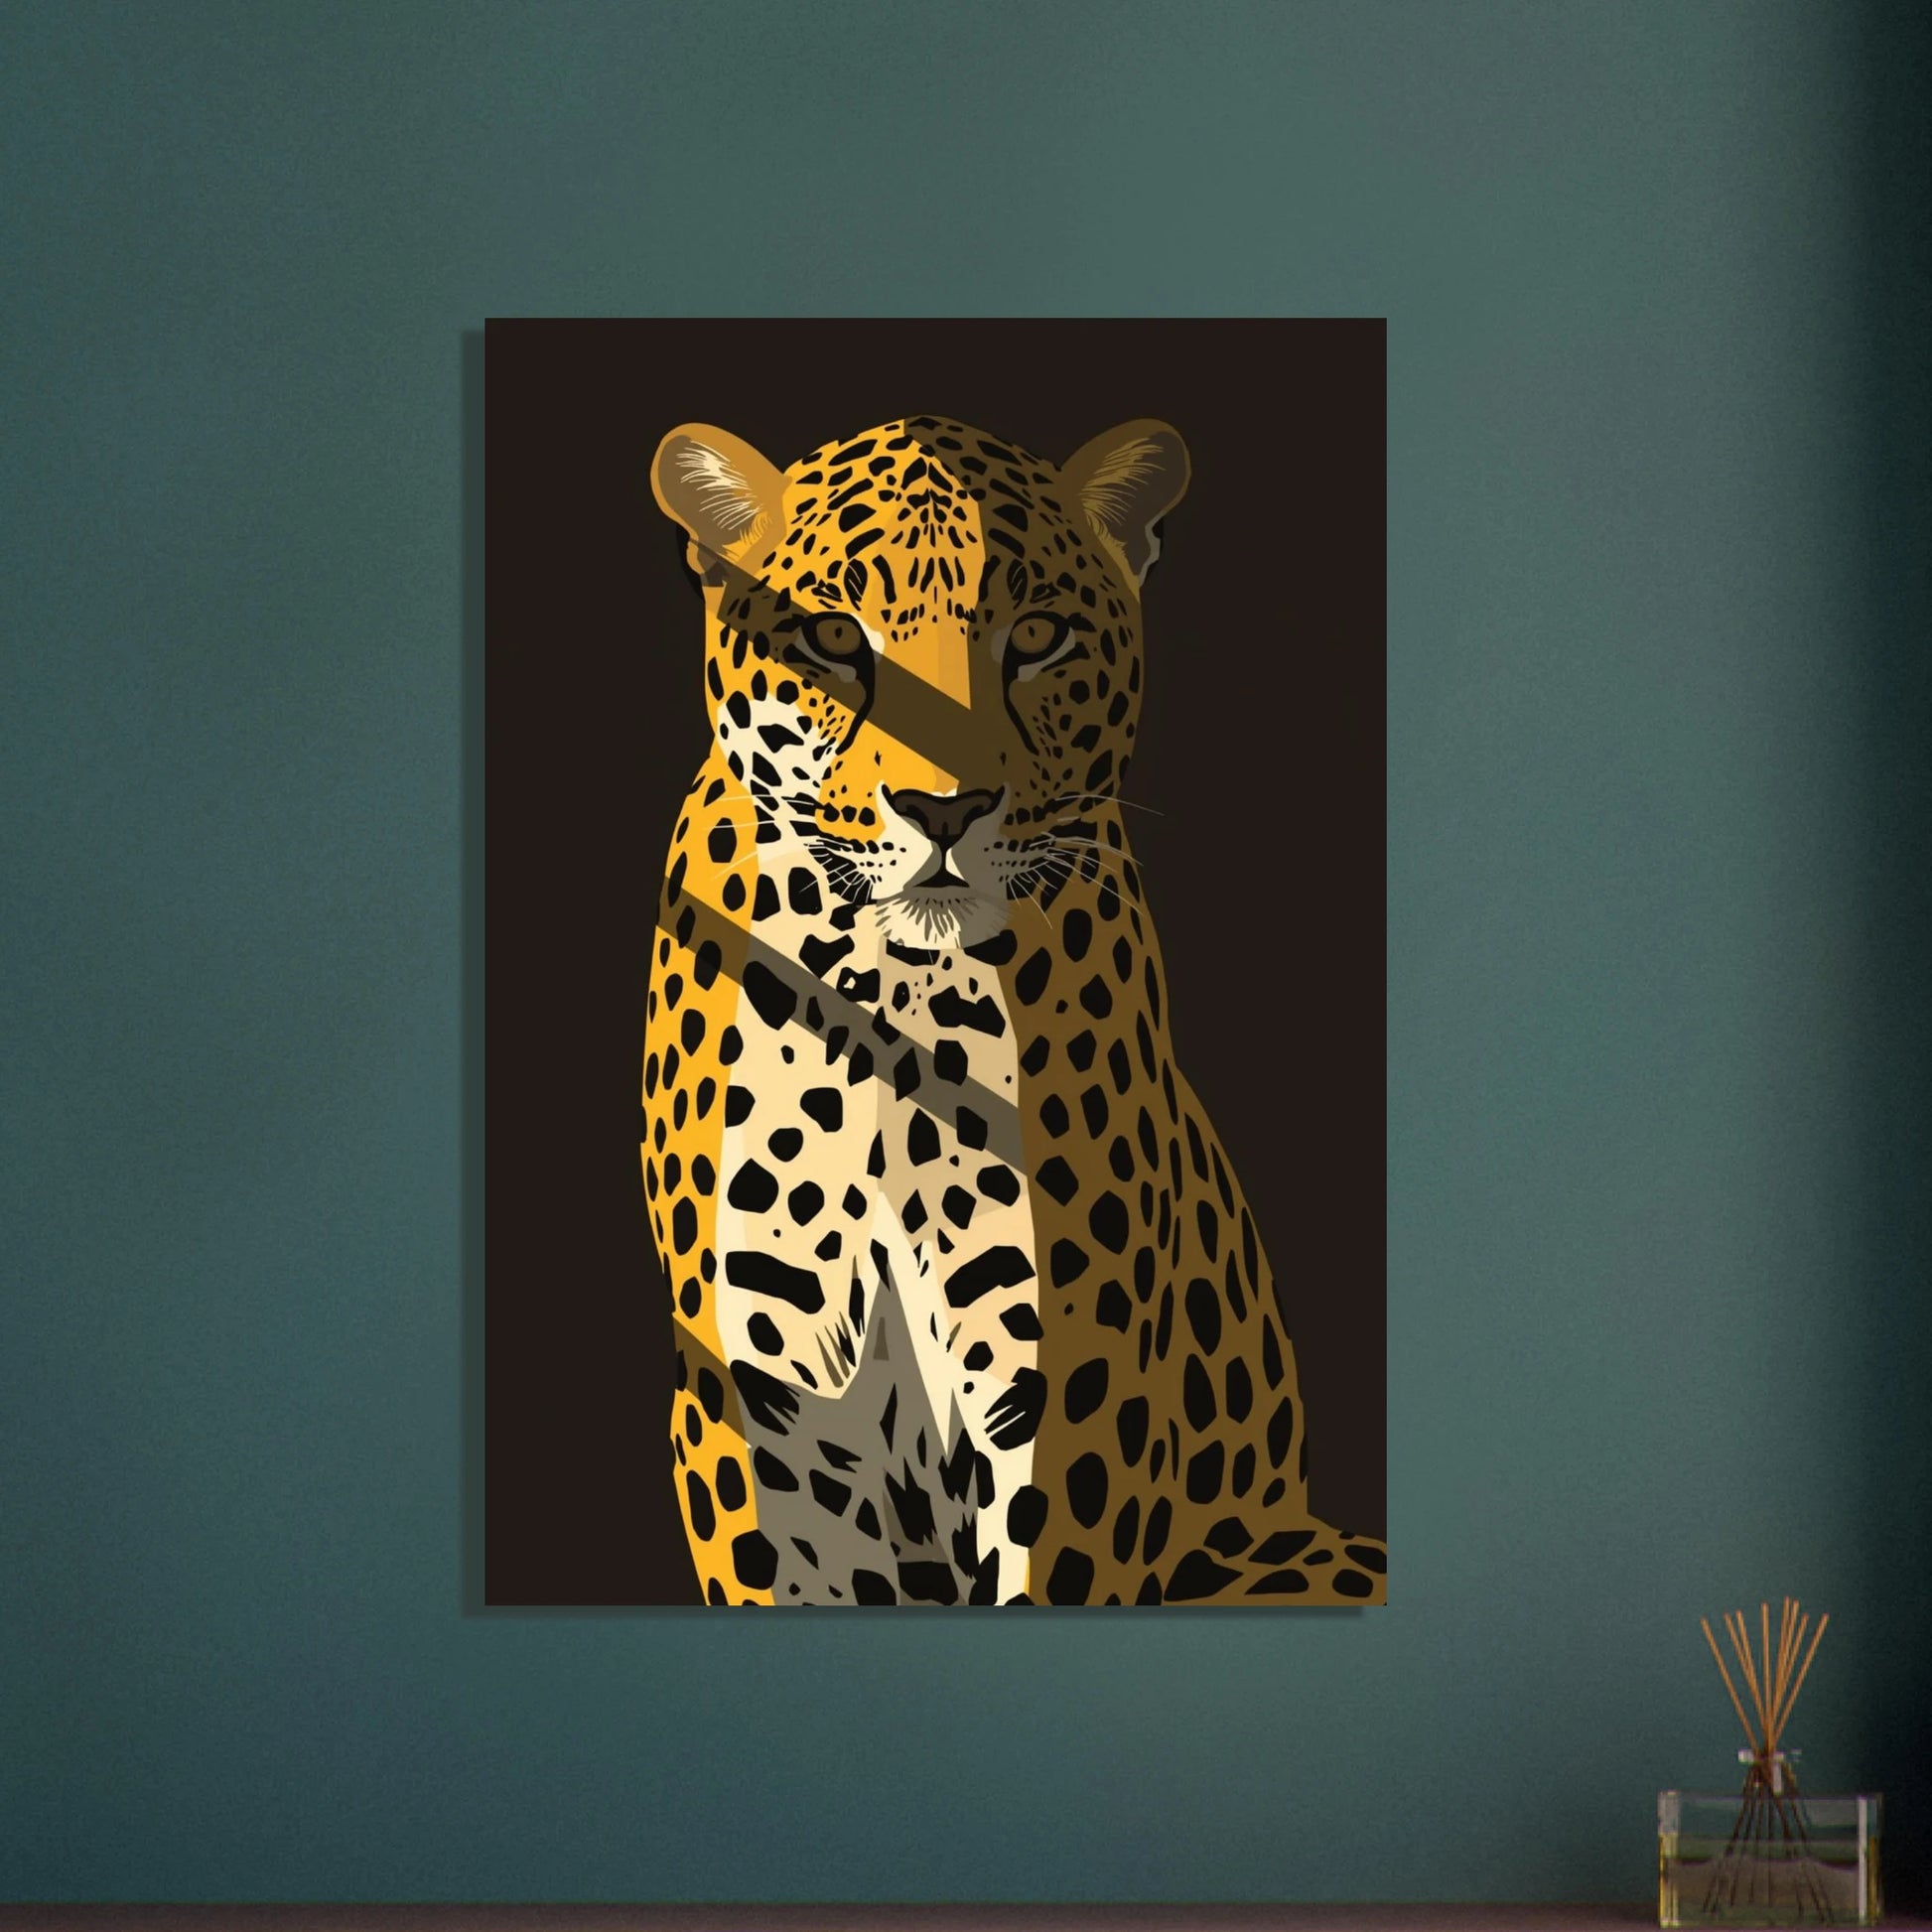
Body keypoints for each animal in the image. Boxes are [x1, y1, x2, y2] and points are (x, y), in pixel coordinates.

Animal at [640, 413, 1385, 1606]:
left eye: (1034, 636)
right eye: (833, 638)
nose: (944, 807)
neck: (891, 994)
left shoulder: (1069, 1386)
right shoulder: (760, 1399)